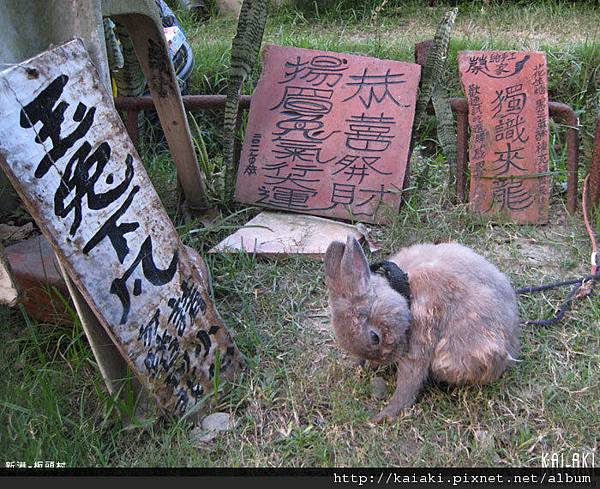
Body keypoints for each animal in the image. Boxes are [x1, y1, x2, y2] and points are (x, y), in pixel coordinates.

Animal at [324, 234, 520, 422]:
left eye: (374, 337)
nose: (383, 360)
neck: (403, 289)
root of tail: (511, 346)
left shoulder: (421, 331)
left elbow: (409, 380)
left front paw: (385, 416)